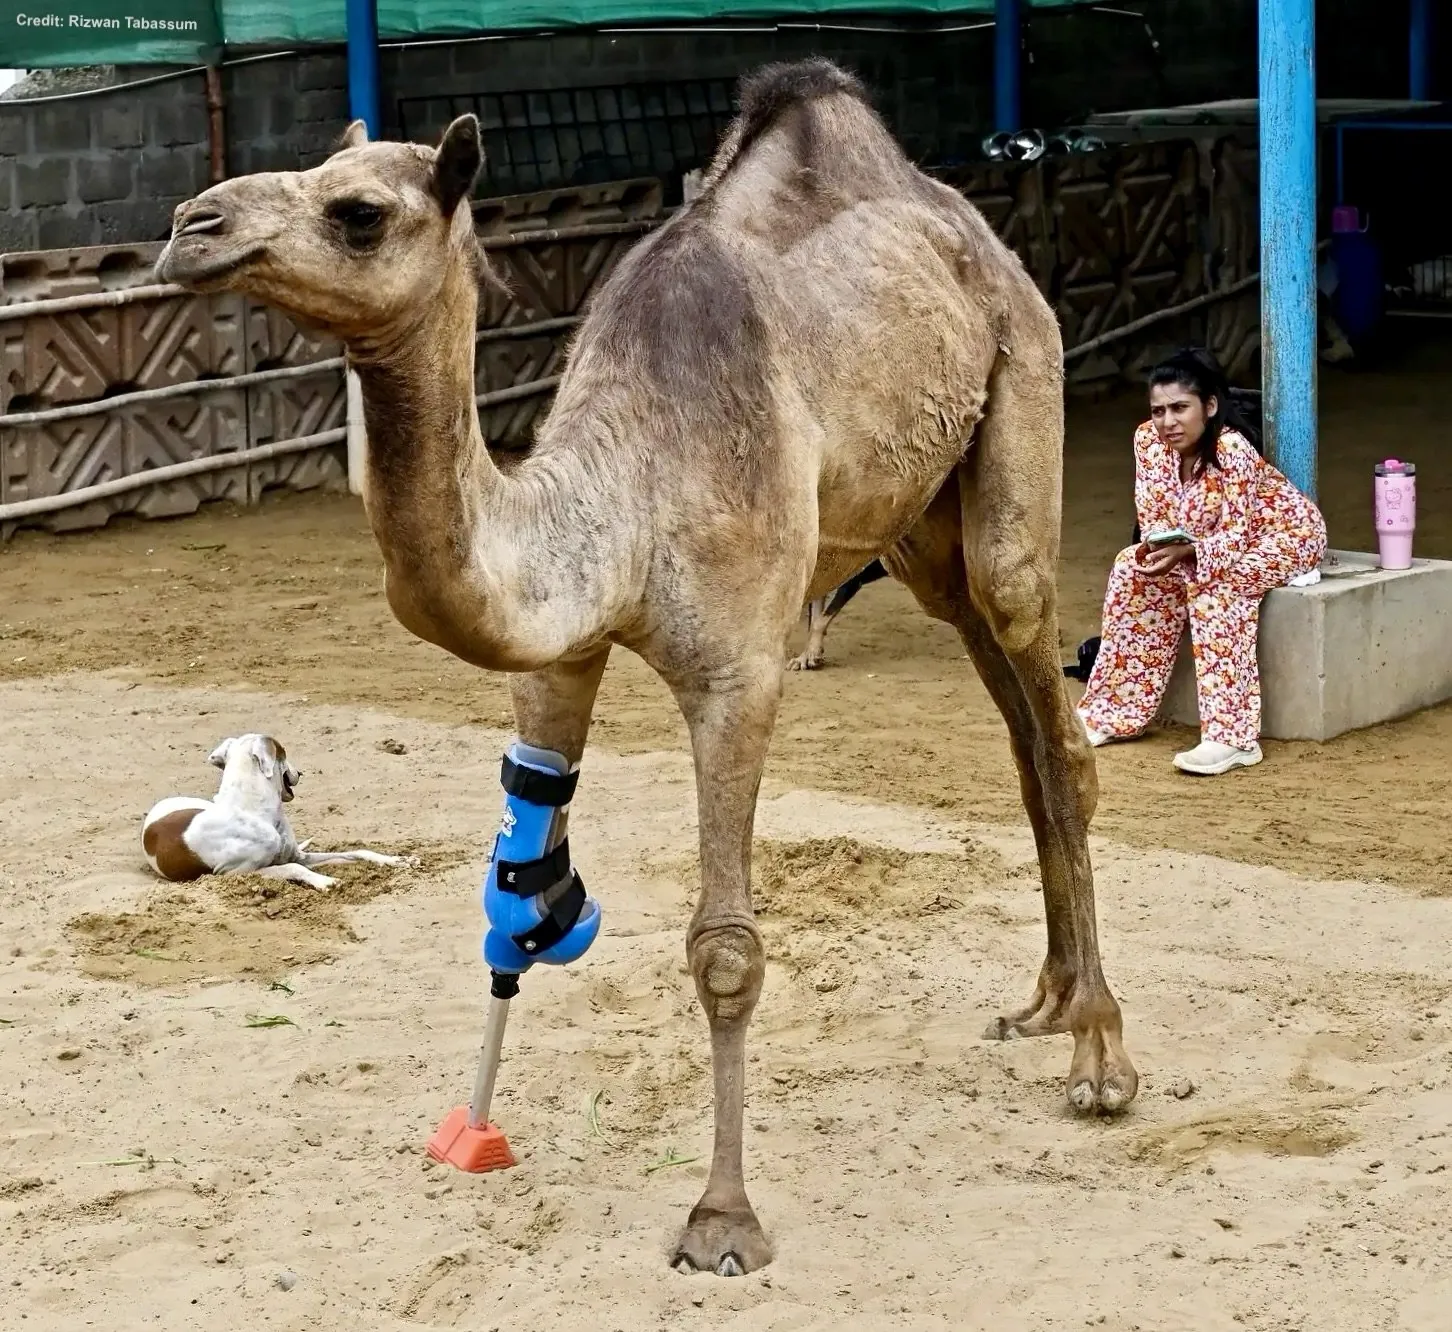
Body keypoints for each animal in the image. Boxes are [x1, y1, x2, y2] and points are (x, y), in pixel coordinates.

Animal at [156, 58, 1138, 1276]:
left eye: (358, 212)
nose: (190, 227)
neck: (618, 506)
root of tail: (974, 232)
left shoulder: (737, 674)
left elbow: (725, 949)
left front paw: (722, 1220)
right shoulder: (553, 661)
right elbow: (510, 902)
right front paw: (468, 1129)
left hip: (1020, 394)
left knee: (1057, 724)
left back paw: (1100, 1059)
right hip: (923, 534)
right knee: (1019, 730)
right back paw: (1045, 1001)